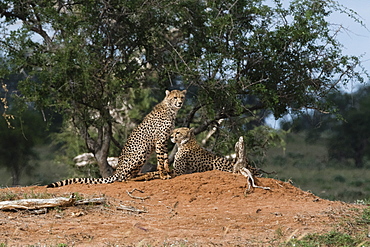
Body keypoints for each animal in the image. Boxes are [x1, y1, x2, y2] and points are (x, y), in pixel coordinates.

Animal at [46, 89, 186, 187]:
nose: (180, 103)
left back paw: (148, 174)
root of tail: (117, 170)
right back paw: (147, 176)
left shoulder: (165, 140)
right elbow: (161, 159)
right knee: (125, 178)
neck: (171, 109)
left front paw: (167, 171)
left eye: (182, 97)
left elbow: (165, 158)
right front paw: (163, 174)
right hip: (140, 152)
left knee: (130, 175)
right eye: (175, 97)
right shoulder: (160, 140)